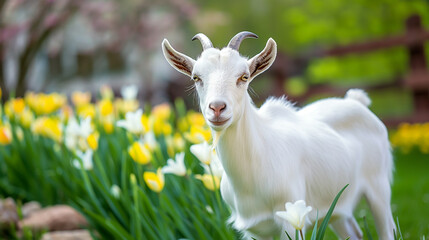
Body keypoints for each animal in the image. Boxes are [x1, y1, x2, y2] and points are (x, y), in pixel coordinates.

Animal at [161, 32, 394, 240]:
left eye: (244, 76)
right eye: (196, 77)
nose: (217, 108)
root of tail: (355, 101)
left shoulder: (293, 217)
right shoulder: (253, 229)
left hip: (379, 185)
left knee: (387, 229)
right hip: (336, 204)